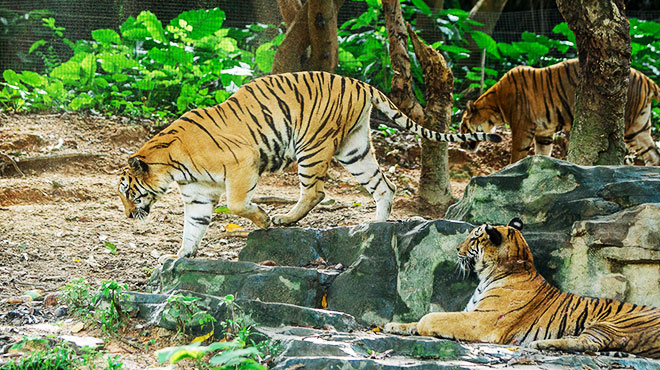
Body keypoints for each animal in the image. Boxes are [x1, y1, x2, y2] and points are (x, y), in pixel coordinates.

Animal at [117, 71, 500, 258]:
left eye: (128, 192)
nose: (128, 216)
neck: (172, 168)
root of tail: (362, 83)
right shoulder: (197, 194)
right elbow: (192, 226)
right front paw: (180, 256)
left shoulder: (243, 163)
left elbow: (237, 204)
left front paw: (264, 220)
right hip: (355, 149)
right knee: (384, 186)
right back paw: (376, 227)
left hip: (312, 145)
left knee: (316, 191)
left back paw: (285, 219)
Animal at [384, 218, 660, 360]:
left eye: (473, 237)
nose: (456, 249)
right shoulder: (471, 313)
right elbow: (417, 320)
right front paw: (393, 326)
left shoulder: (481, 321)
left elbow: (432, 316)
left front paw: (417, 326)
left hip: (612, 324)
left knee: (588, 344)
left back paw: (542, 345)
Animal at [458, 58, 660, 165]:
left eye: (463, 127)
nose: (460, 145)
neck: (496, 105)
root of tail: (647, 79)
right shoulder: (544, 133)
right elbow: (542, 154)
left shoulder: (522, 128)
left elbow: (517, 154)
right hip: (638, 131)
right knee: (654, 154)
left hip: (625, 125)